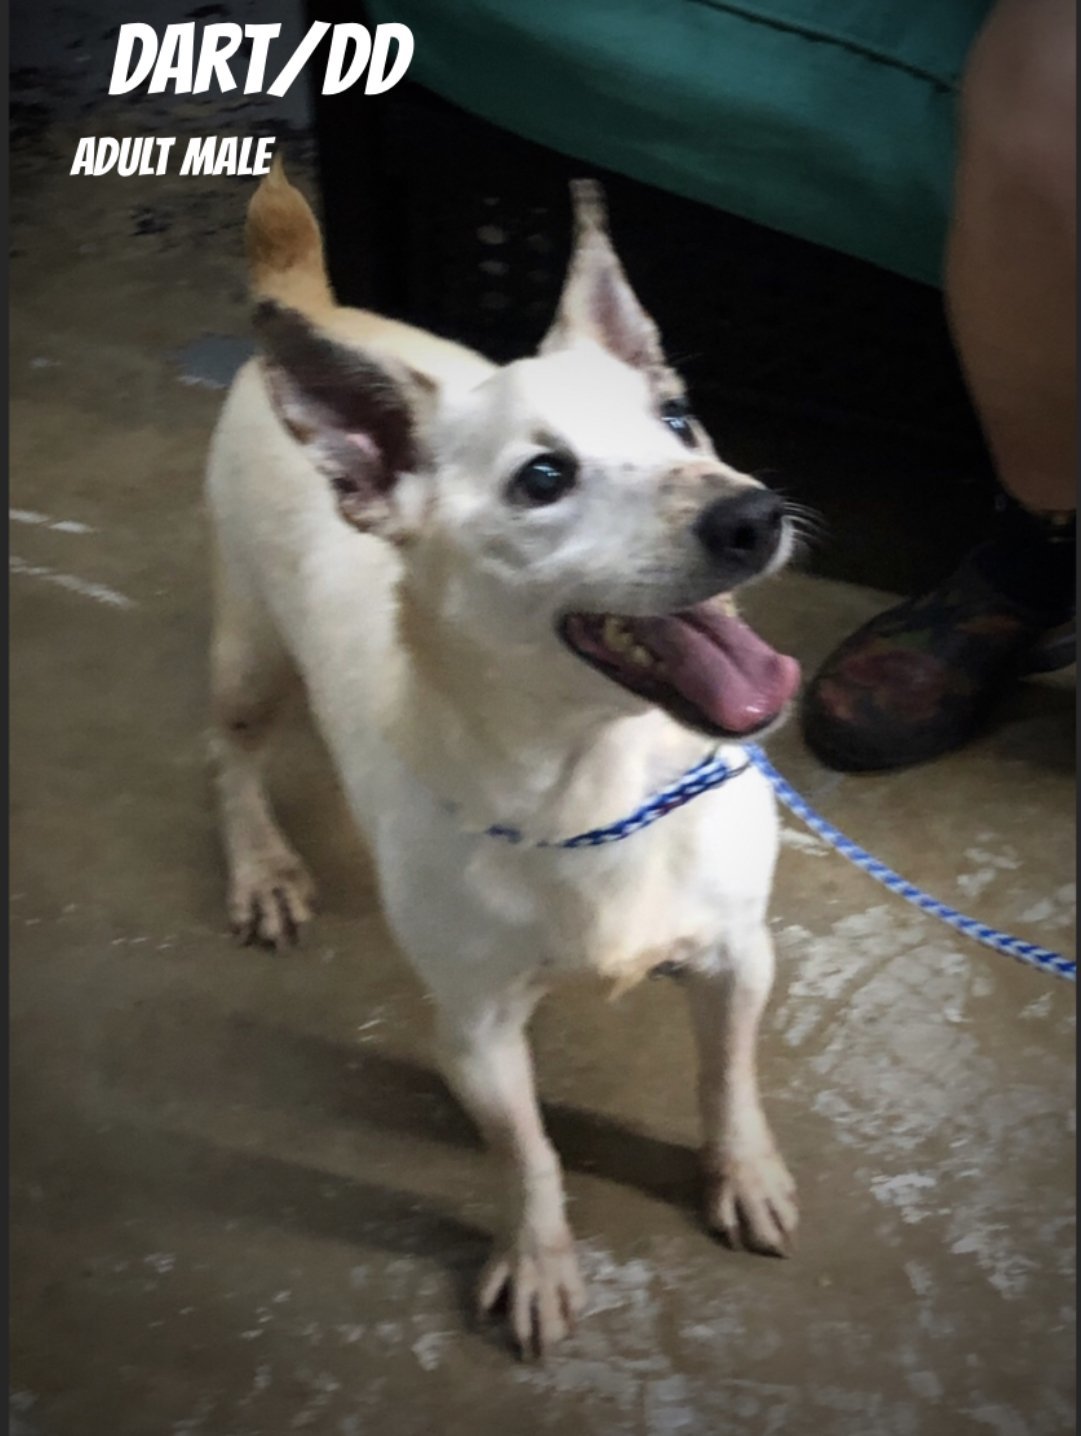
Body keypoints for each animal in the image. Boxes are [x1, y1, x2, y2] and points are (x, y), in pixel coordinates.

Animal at [206, 162, 803, 1349]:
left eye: (679, 419)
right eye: (541, 479)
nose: (751, 513)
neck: (600, 783)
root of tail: (310, 298)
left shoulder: (737, 958)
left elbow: (726, 1079)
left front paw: (742, 1172)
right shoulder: (475, 1035)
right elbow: (527, 1155)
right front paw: (535, 1258)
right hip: (247, 654)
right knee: (227, 757)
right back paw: (262, 866)